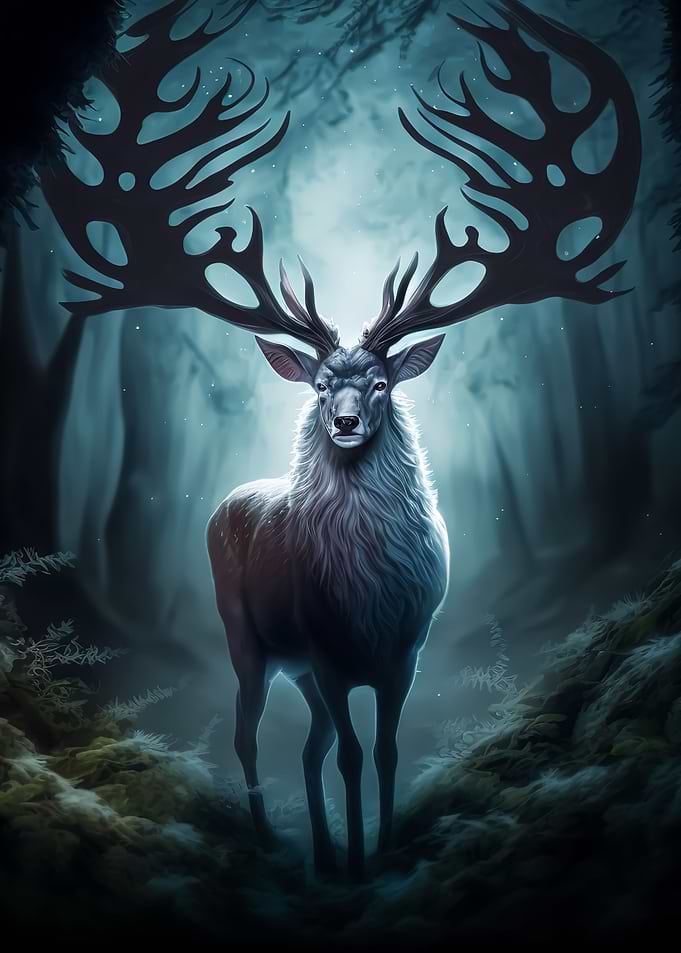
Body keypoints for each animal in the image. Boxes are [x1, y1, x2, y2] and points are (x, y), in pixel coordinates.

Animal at [40, 0, 640, 879]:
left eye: (383, 383)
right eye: (322, 384)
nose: (348, 421)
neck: (366, 596)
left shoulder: (405, 649)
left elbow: (381, 752)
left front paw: (375, 850)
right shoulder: (323, 649)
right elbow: (353, 755)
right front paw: (356, 862)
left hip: (296, 669)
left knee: (309, 747)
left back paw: (321, 849)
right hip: (249, 638)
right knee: (250, 734)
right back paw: (270, 841)